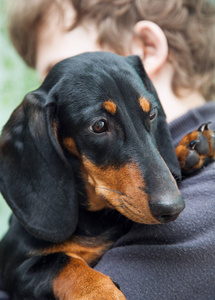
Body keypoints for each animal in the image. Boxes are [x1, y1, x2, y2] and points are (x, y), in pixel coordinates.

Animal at [0, 52, 214, 298]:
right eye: (99, 125)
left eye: (152, 113)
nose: (173, 208)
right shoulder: (15, 264)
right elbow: (63, 263)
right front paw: (99, 292)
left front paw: (188, 150)